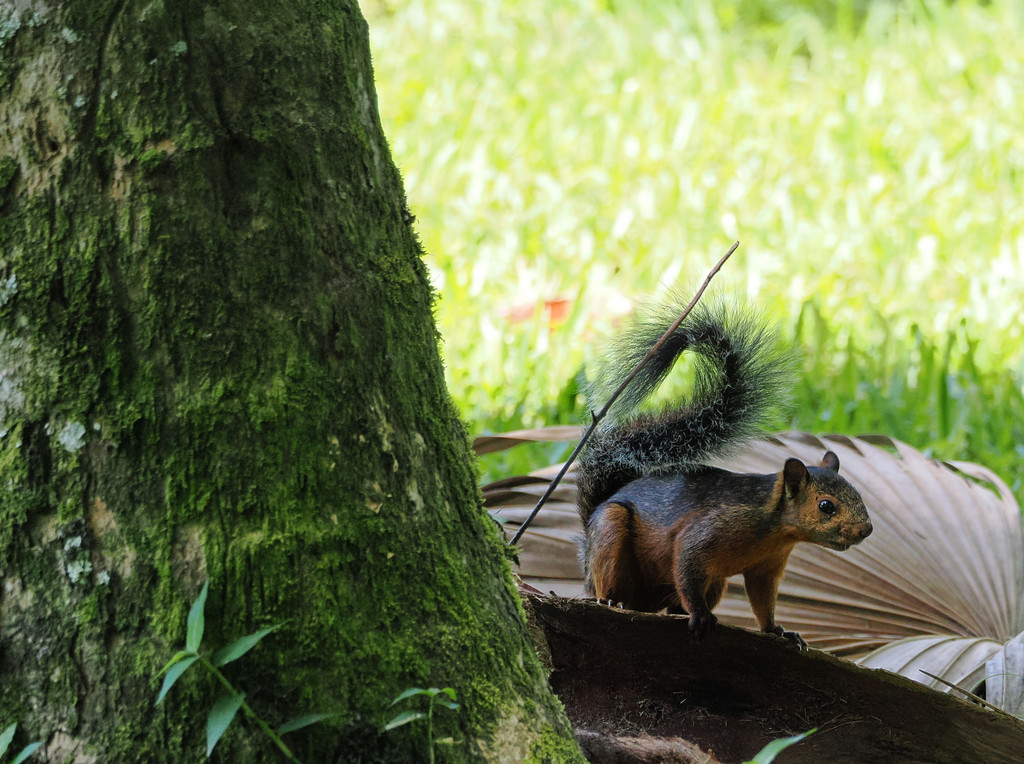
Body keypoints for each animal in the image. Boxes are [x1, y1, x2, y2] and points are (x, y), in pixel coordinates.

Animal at [577, 296, 872, 643]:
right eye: (826, 506)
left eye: (858, 493)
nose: (866, 529)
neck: (773, 529)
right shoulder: (707, 531)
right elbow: (686, 566)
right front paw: (700, 615)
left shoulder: (766, 568)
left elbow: (762, 600)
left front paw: (777, 630)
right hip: (610, 536)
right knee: (609, 583)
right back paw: (612, 600)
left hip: (716, 582)